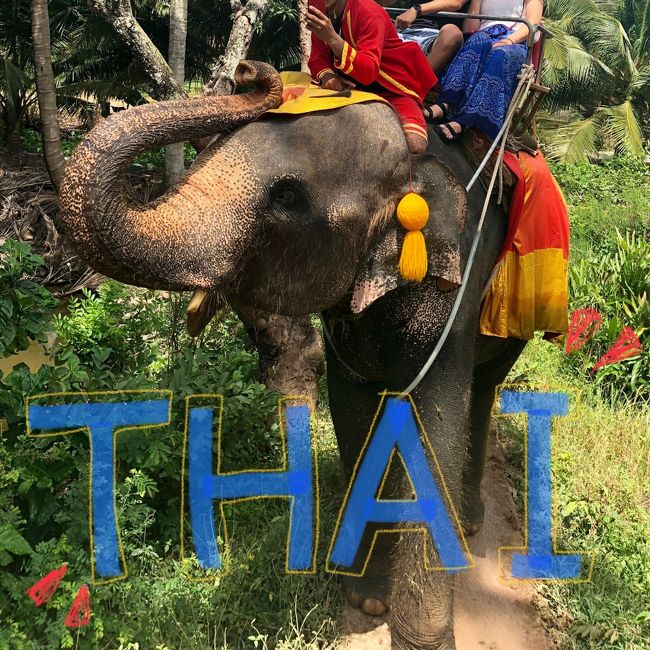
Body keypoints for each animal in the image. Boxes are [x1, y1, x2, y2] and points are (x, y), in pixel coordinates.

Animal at [59, 59, 528, 644]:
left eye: (287, 196)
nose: (251, 72)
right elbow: (354, 412)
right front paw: (366, 598)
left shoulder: (453, 289)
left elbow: (434, 422)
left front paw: (422, 636)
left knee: (485, 387)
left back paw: (468, 520)